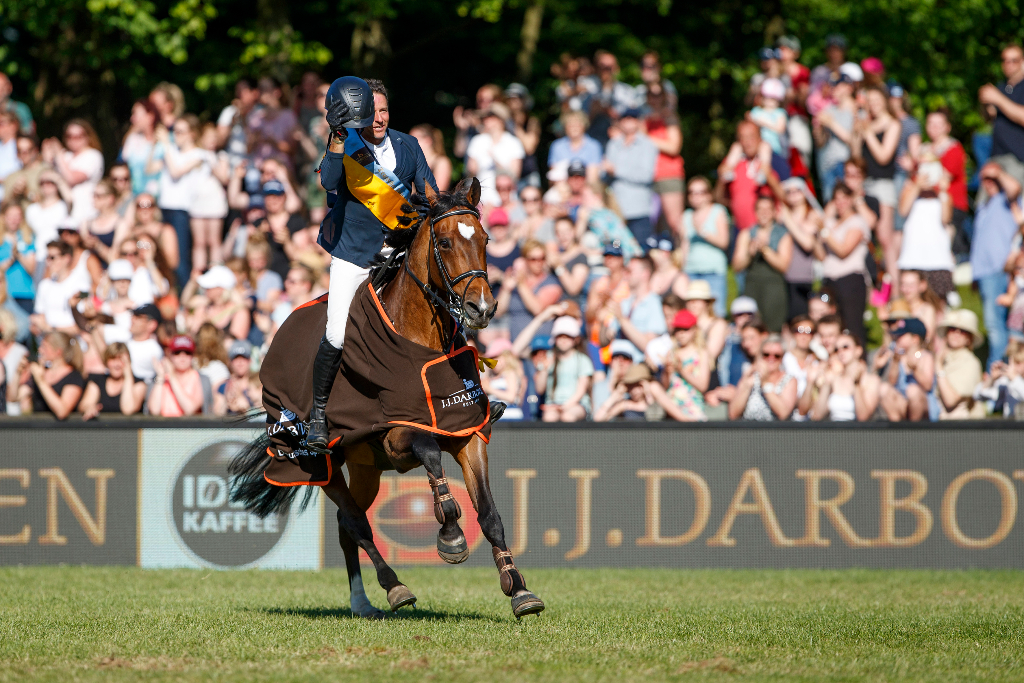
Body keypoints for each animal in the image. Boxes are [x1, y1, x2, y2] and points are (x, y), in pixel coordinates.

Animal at [230, 176, 544, 618]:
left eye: (485, 238)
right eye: (444, 242)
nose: (481, 308)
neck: (421, 343)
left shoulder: (466, 434)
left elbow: (490, 514)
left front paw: (519, 590)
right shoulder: (396, 436)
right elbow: (429, 453)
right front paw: (450, 536)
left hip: (366, 468)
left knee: (348, 525)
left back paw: (363, 602)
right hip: (320, 463)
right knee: (354, 521)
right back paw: (394, 588)